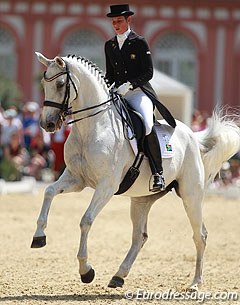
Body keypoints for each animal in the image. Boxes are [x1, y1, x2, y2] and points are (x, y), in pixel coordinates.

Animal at [31, 52, 240, 290]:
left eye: (60, 84)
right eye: (43, 84)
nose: (47, 124)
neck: (93, 127)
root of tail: (192, 135)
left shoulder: (106, 186)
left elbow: (86, 220)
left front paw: (86, 271)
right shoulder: (76, 179)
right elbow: (49, 191)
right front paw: (39, 237)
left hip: (191, 196)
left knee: (200, 235)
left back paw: (195, 283)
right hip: (141, 200)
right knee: (140, 237)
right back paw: (118, 275)